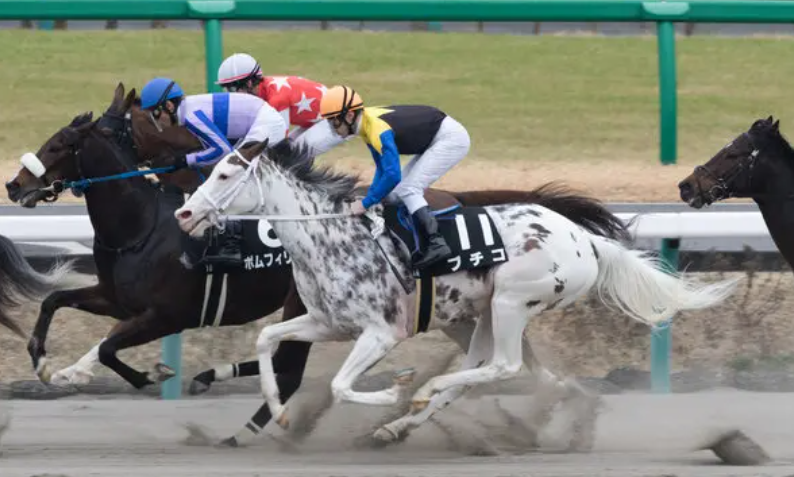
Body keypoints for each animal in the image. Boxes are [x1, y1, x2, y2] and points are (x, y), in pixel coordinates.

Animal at [174, 139, 741, 443]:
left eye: (223, 173)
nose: (184, 213)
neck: (330, 235)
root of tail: (586, 240)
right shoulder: (327, 322)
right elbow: (266, 340)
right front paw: (278, 409)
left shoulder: (380, 332)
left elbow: (338, 384)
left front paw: (395, 389)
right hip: (481, 314)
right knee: (496, 370)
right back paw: (402, 424)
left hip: (512, 301)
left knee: (503, 367)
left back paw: (420, 394)